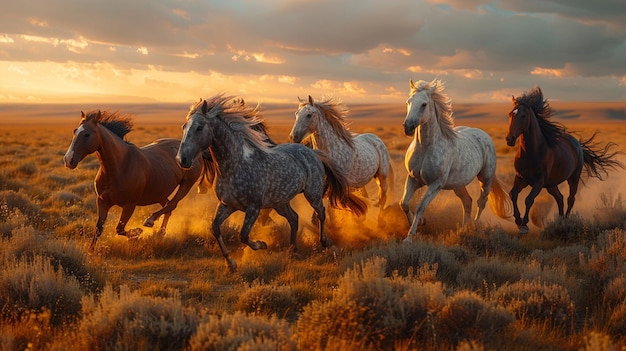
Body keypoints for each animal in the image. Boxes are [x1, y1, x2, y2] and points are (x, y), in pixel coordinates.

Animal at [63, 110, 211, 250]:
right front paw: (91, 251)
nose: (68, 160)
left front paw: (136, 233)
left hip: (186, 184)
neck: (119, 166)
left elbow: (119, 228)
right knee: (168, 207)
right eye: (75, 131)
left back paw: (150, 221)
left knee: (171, 205)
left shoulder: (130, 205)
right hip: (159, 192)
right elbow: (99, 228)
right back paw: (160, 233)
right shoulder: (102, 201)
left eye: (87, 134)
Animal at [173, 95, 366, 270]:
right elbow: (215, 228)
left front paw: (261, 245)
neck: (235, 164)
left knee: (321, 213)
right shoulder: (227, 205)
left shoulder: (254, 207)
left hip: (313, 194)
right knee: (294, 218)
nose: (181, 160)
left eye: (199, 127)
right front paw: (231, 263)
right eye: (184, 126)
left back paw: (325, 242)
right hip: (280, 202)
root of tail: (313, 152)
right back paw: (291, 252)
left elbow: (243, 235)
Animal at [398, 80, 510, 243]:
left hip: (485, 178)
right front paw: (421, 223)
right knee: (467, 202)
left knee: (481, 202)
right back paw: (464, 229)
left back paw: (474, 227)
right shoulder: (413, 178)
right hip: (458, 184)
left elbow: (420, 207)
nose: (408, 127)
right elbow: (404, 203)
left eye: (424, 104)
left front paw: (409, 237)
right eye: (408, 102)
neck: (425, 147)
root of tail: (484, 135)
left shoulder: (436, 184)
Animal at [504, 85, 620, 234]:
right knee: (560, 198)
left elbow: (529, 199)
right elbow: (513, 194)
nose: (510, 139)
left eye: (523, 116)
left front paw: (524, 224)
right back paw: (559, 220)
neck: (532, 152)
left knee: (571, 199)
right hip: (551, 184)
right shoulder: (521, 178)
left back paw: (565, 220)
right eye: (510, 114)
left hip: (573, 178)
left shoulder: (538, 181)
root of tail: (577, 144)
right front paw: (518, 221)